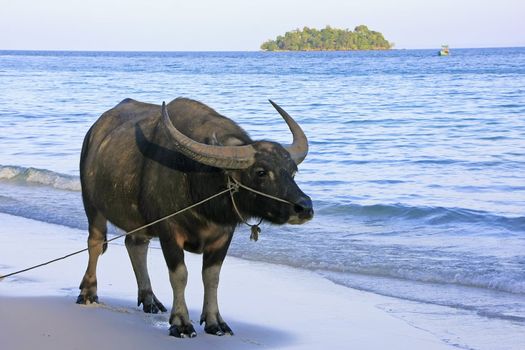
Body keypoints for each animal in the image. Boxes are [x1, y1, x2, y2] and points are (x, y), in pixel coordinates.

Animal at [76, 97, 314, 338]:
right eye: (261, 172)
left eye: (292, 172)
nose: (305, 207)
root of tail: (93, 132)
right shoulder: (169, 232)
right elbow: (180, 275)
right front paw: (181, 322)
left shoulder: (223, 236)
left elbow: (211, 277)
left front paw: (215, 321)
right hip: (92, 206)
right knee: (95, 244)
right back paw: (88, 292)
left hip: (139, 222)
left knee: (135, 245)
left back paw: (149, 299)